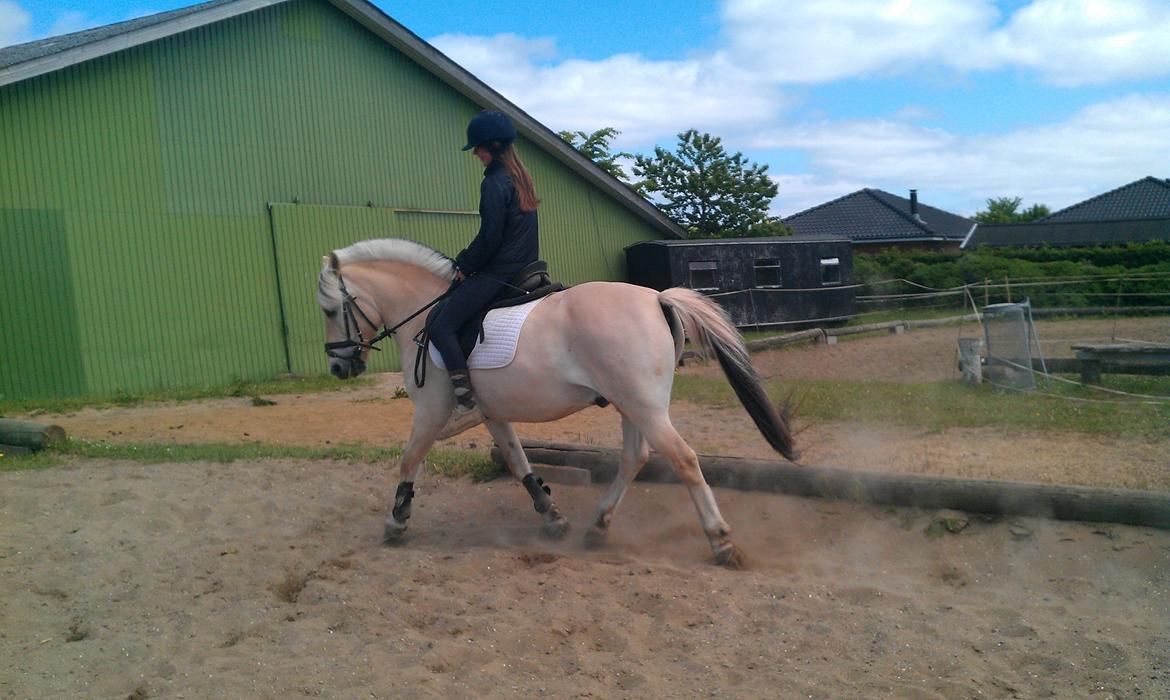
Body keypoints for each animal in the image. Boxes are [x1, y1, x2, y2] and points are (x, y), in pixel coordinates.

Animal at [315, 238, 800, 568]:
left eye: (329, 310)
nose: (338, 367)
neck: (423, 311)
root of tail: (657, 297)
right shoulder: (492, 414)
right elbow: (517, 462)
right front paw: (552, 518)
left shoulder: (431, 411)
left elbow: (409, 458)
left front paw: (396, 521)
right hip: (632, 404)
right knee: (635, 457)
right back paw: (597, 527)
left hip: (642, 406)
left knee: (682, 459)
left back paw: (721, 542)